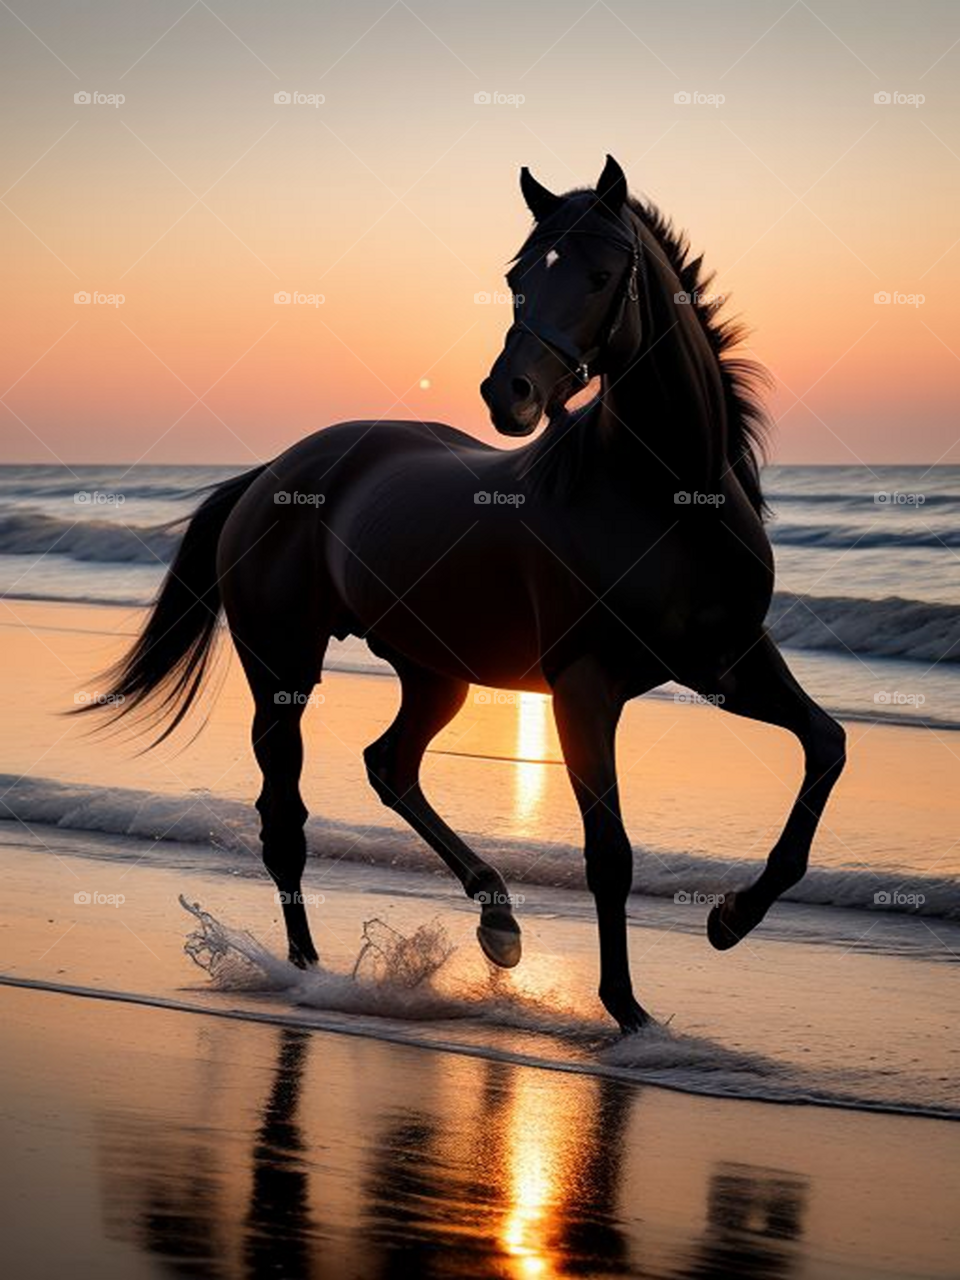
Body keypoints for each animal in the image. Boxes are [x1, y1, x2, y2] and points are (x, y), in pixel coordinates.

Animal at [80, 155, 846, 1033]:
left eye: (601, 274)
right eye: (518, 276)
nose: (509, 394)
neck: (670, 500)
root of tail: (273, 472)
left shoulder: (731, 664)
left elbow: (826, 747)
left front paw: (731, 917)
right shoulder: (585, 688)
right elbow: (608, 852)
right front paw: (627, 1010)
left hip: (433, 675)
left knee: (390, 765)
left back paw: (498, 921)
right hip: (283, 674)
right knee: (285, 820)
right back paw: (310, 972)